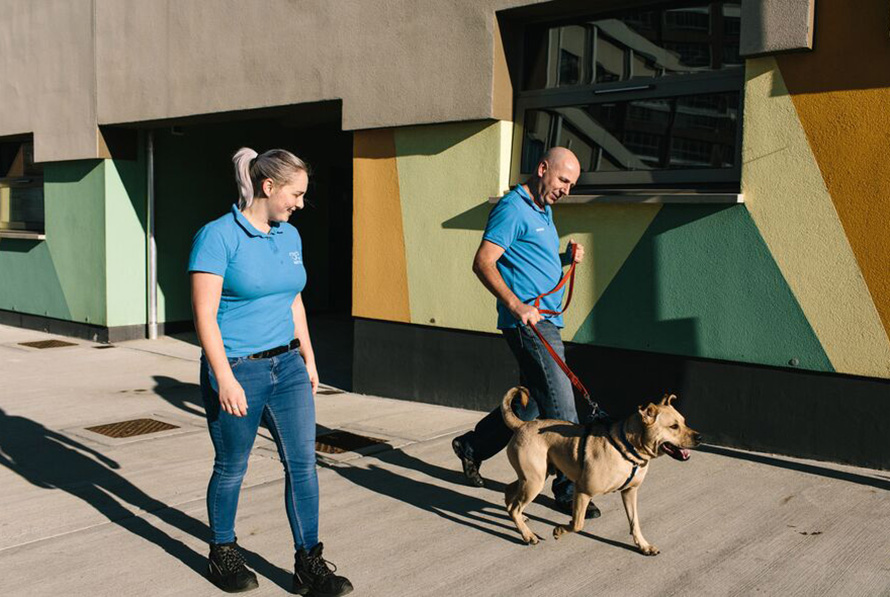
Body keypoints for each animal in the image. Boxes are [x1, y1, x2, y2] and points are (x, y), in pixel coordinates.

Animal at [502, 384, 696, 552]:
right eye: (673, 426)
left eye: (685, 422)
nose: (700, 437)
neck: (628, 448)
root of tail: (522, 424)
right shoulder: (582, 491)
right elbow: (577, 524)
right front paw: (560, 530)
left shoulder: (630, 492)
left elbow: (635, 522)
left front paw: (643, 545)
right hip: (535, 481)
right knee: (515, 506)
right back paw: (527, 534)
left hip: (533, 477)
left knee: (511, 494)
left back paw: (519, 518)